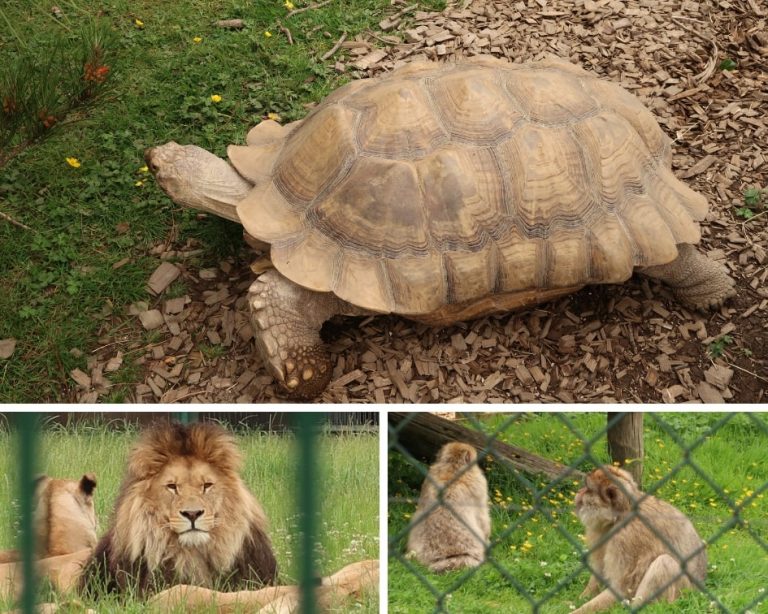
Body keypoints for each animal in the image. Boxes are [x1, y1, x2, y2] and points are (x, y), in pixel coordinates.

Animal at [572, 466, 704, 614]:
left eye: (588, 489)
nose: (579, 492)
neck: (622, 516)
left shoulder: (627, 539)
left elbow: (622, 589)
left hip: (683, 591)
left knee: (664, 562)